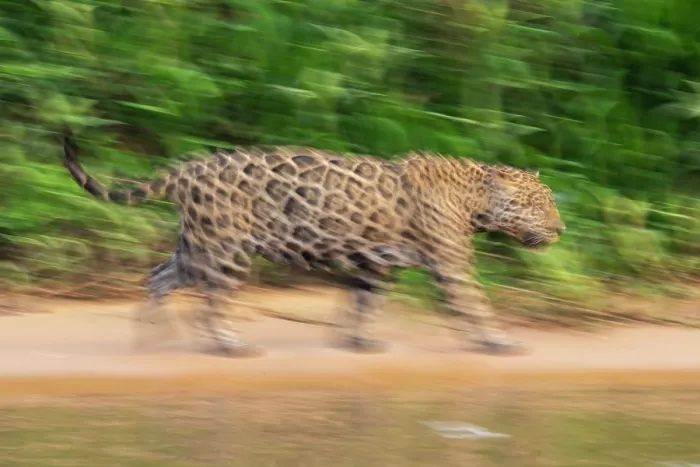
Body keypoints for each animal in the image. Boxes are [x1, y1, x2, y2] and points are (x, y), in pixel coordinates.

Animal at [61, 129, 565, 357]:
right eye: (538, 204)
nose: (560, 229)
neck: (474, 199)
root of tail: (185, 169)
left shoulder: (375, 264)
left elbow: (366, 301)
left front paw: (361, 340)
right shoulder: (451, 264)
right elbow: (476, 304)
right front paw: (499, 340)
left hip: (197, 245)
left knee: (158, 276)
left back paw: (151, 333)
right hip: (226, 249)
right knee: (213, 302)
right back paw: (230, 345)